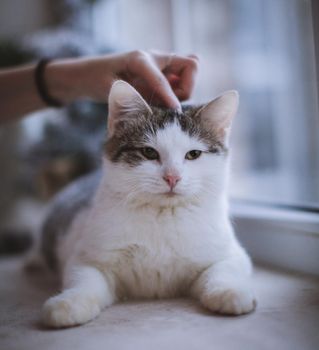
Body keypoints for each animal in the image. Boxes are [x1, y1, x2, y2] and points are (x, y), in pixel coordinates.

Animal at [37, 80, 258, 326]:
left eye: (193, 154)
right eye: (149, 152)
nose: (172, 177)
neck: (162, 215)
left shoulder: (232, 255)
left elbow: (222, 270)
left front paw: (230, 291)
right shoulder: (86, 258)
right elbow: (85, 280)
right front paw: (69, 302)